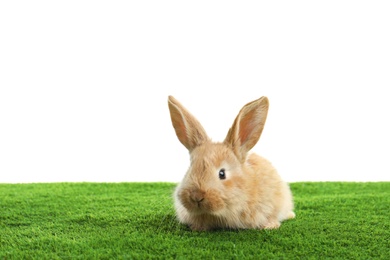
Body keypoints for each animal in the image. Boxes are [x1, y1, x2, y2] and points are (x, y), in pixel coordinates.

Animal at [168, 96, 296, 232]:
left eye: (222, 173)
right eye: (190, 169)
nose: (196, 196)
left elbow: (271, 216)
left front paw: (270, 226)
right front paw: (198, 227)